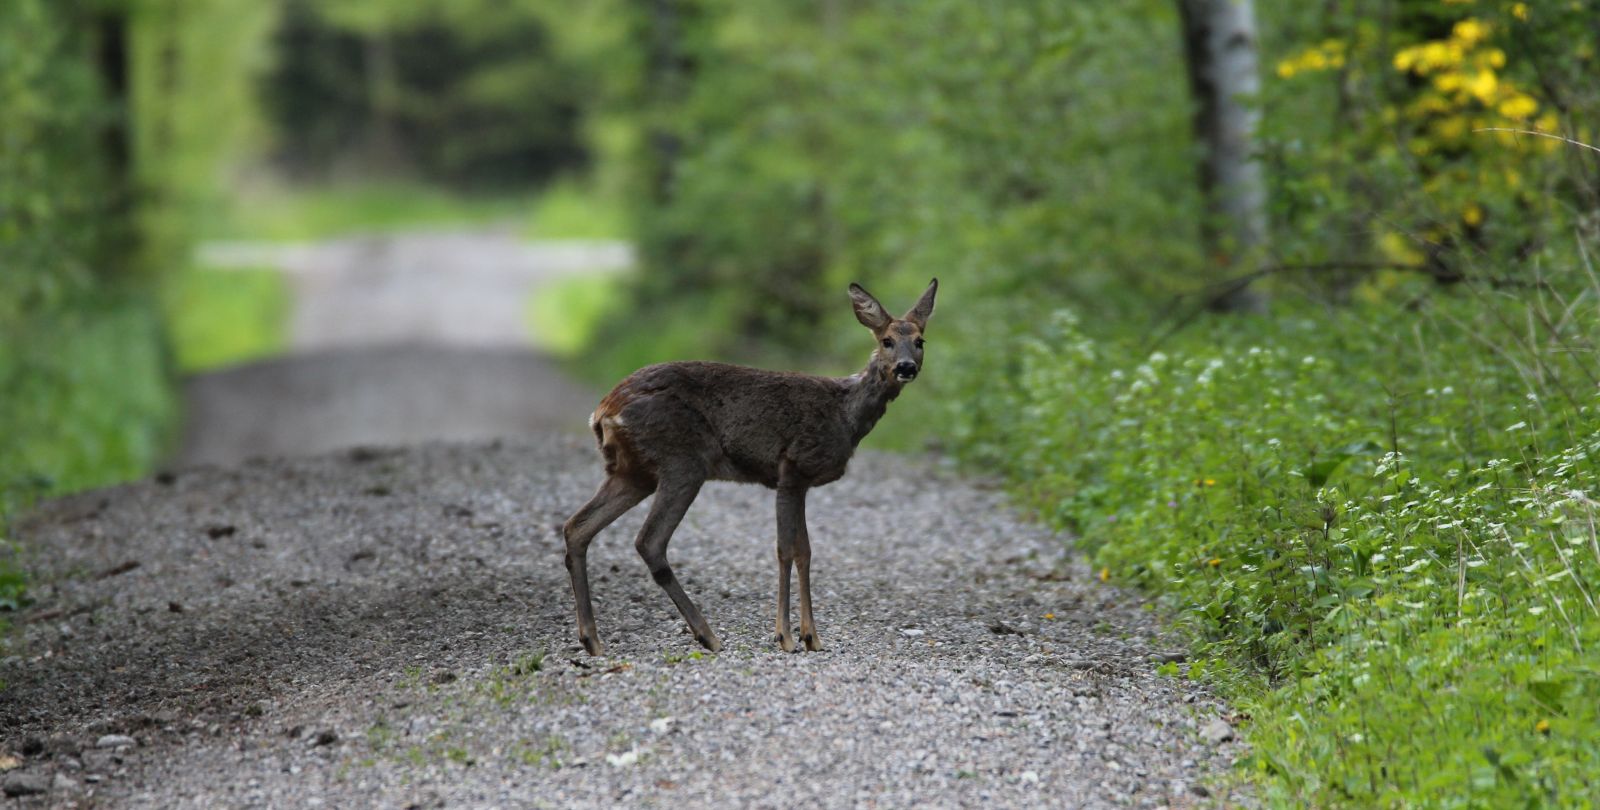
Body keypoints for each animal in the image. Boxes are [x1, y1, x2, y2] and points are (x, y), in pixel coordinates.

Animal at [563, 281, 934, 656]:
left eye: (920, 340)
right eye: (886, 340)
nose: (906, 367)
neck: (845, 415)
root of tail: (604, 411)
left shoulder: (799, 481)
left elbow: (805, 551)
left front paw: (811, 636)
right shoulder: (792, 468)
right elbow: (787, 550)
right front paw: (786, 636)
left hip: (632, 472)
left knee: (577, 527)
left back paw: (592, 639)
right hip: (681, 462)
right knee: (648, 541)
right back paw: (707, 635)